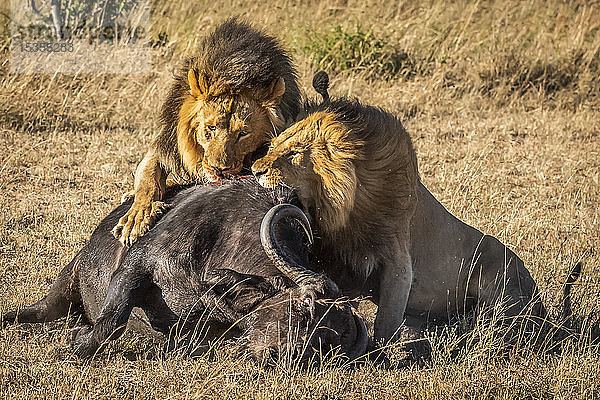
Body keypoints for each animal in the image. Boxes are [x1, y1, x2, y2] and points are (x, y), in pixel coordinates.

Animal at [112, 19, 300, 247]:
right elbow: (147, 179)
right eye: (211, 128)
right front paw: (136, 218)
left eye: (243, 134)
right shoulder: (164, 147)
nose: (220, 170)